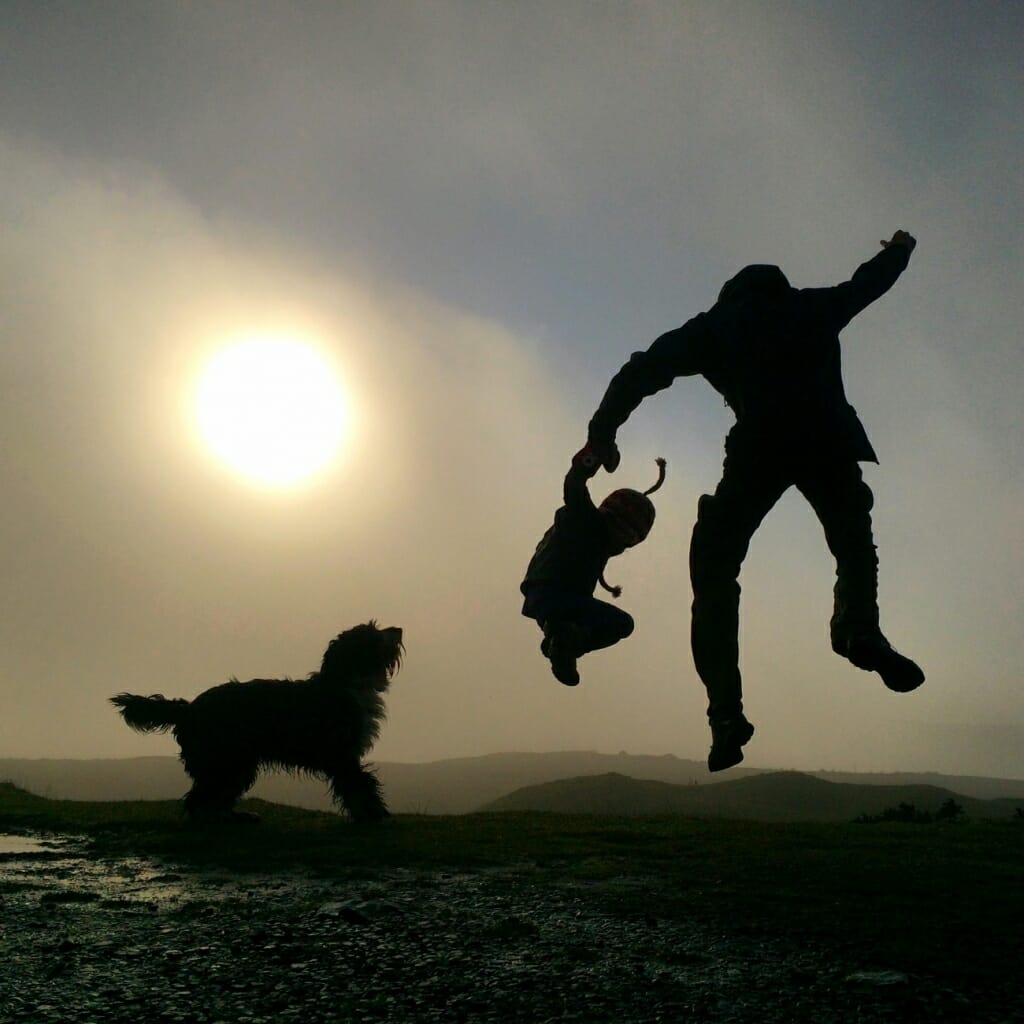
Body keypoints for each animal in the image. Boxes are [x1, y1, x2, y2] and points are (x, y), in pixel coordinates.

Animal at [111, 618, 399, 819]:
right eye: (374, 633)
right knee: (200, 796)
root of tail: (190, 707)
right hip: (226, 759)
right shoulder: (342, 754)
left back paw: (234, 817)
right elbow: (360, 784)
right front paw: (374, 814)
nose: (399, 630)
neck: (345, 680)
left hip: (237, 762)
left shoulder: (343, 755)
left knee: (214, 795)